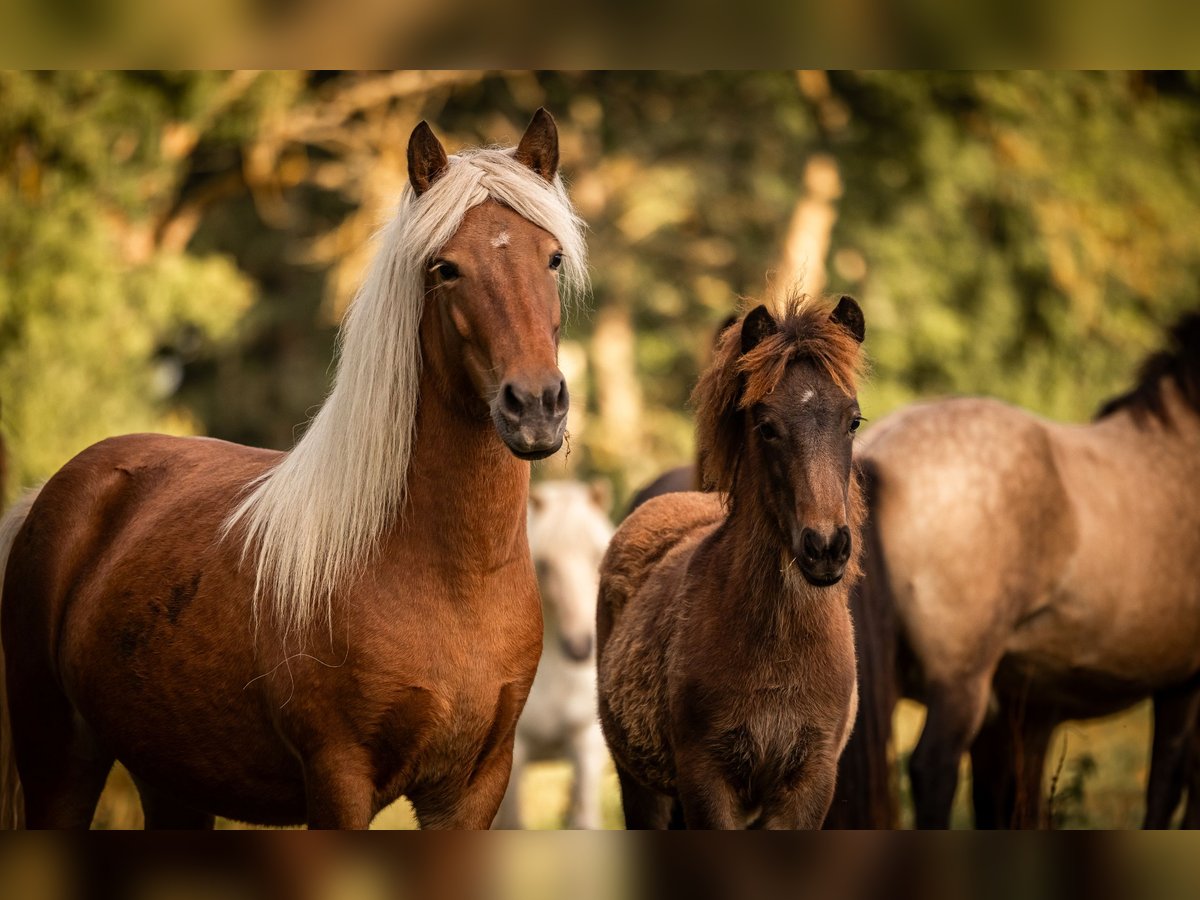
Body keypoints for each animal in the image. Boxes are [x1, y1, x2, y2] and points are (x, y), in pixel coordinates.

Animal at [0, 112, 590, 830]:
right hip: (59, 762)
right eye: (445, 267)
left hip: (172, 784)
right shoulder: (339, 781)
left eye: (552, 258)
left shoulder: (473, 791)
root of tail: (53, 494)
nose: (535, 406)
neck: (449, 577)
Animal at [597, 296, 864, 830]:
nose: (825, 546)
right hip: (640, 786)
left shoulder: (811, 783)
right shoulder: (706, 780)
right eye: (766, 426)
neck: (779, 650)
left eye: (853, 421)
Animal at [830, 312, 1200, 830]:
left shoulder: (1022, 713)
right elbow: (1167, 787)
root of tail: (880, 452)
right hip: (961, 684)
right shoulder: (1182, 683)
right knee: (933, 769)